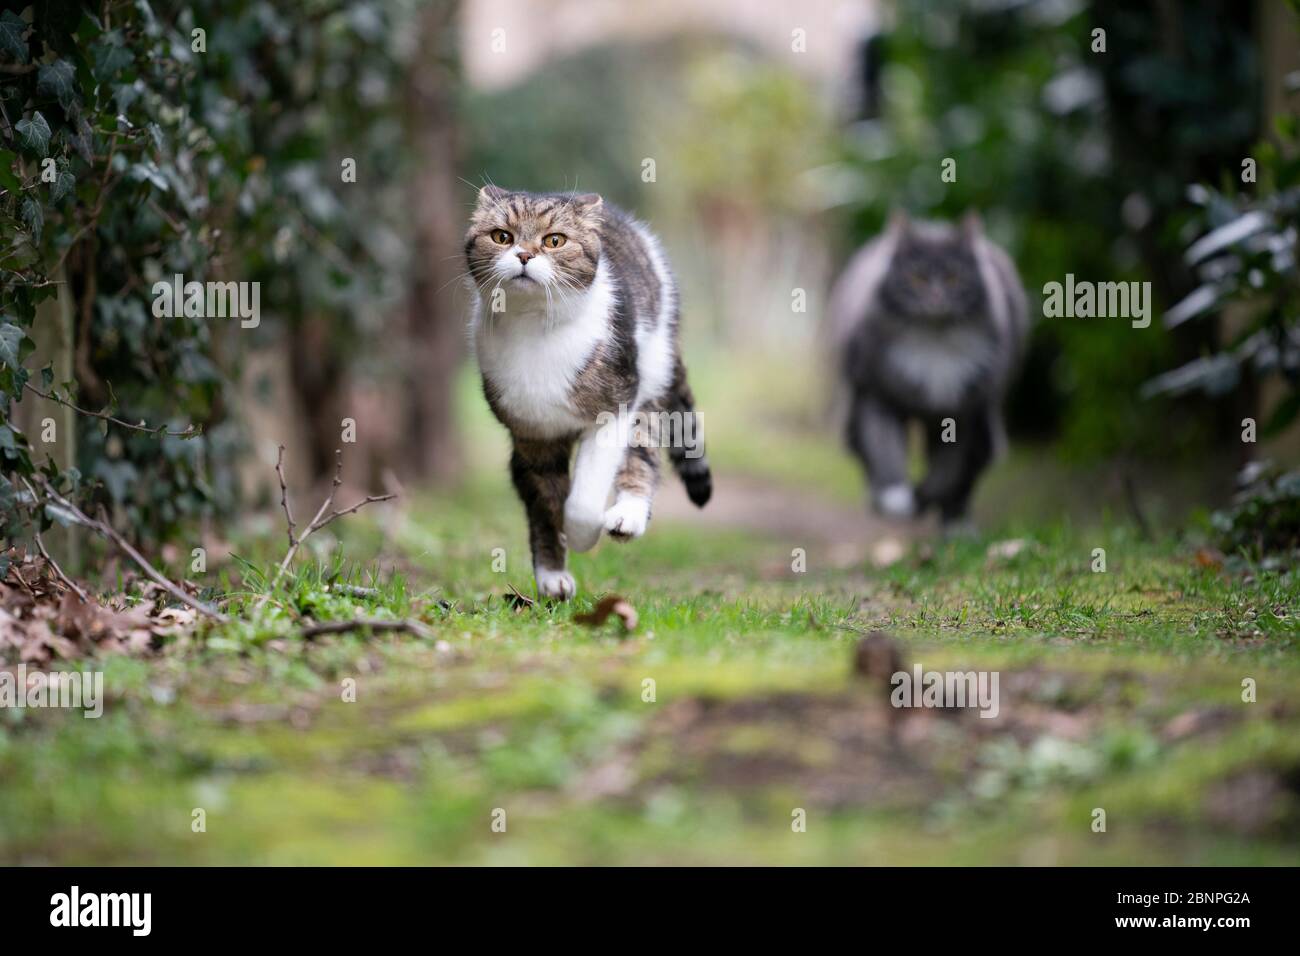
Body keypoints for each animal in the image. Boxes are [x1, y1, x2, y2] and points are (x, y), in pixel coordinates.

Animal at [832, 212, 1024, 528]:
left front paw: (922, 497)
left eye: (953, 278)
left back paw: (956, 521)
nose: (936, 296)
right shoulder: (874, 393)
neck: (934, 344)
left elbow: (947, 473)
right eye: (917, 278)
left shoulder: (964, 413)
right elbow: (883, 448)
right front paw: (896, 496)